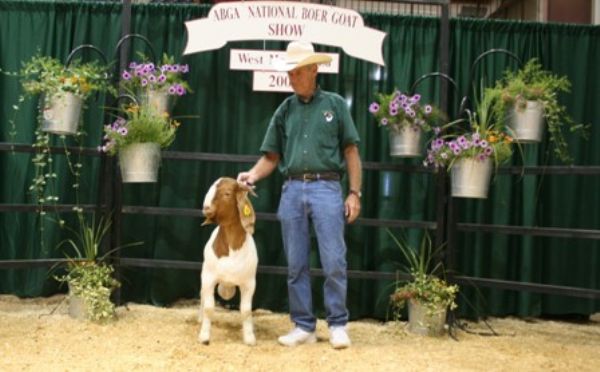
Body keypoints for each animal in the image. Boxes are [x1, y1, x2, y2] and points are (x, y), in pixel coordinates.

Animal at [199, 177, 258, 346]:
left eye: (227, 193)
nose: (205, 208)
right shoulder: (209, 278)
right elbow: (209, 308)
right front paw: (204, 336)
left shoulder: (249, 283)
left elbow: (246, 310)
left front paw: (249, 338)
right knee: (202, 297)